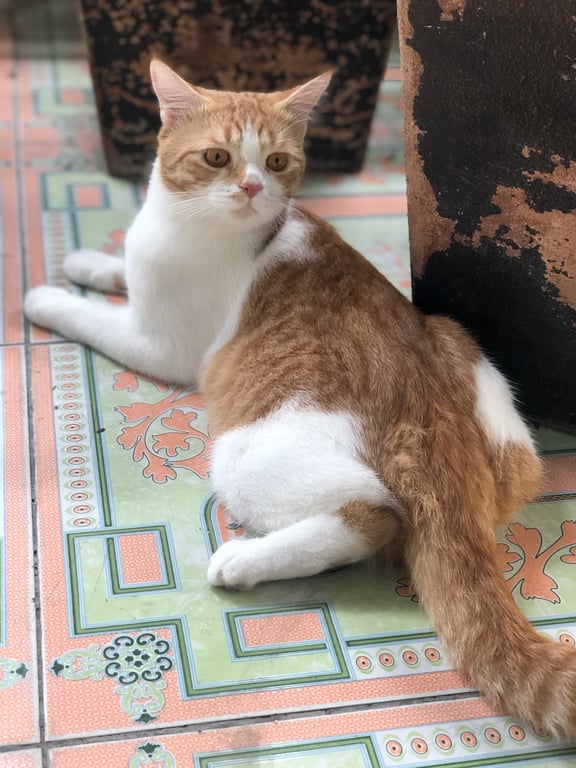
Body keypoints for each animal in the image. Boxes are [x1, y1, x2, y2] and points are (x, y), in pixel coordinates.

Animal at [25, 59, 576, 740]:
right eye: (217, 157)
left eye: (278, 161)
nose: (253, 186)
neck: (181, 221)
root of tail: (428, 422)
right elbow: (116, 270)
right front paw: (86, 261)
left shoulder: (158, 345)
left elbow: (91, 316)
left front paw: (46, 297)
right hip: (469, 362)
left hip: (250, 454)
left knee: (374, 516)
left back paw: (244, 562)